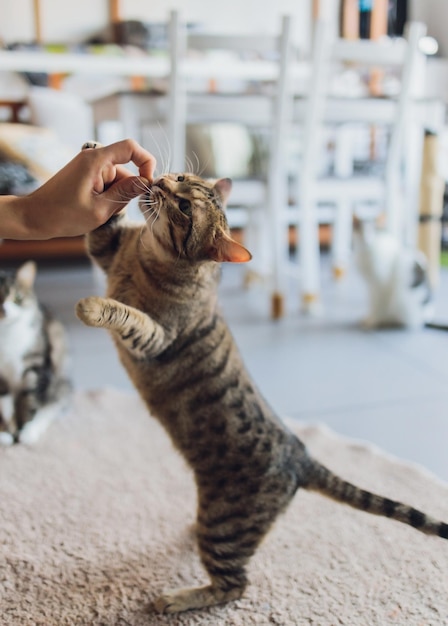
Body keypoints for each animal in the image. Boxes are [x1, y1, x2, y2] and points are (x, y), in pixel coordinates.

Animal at [0, 258, 71, 444]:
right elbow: (4, 407)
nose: (5, 310)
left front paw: (24, 432)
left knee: (50, 406)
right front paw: (6, 433)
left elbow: (29, 400)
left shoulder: (37, 366)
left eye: (17, 298)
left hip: (59, 384)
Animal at [76, 146, 448, 608]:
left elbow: (127, 315)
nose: (160, 181)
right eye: (178, 177)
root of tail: (300, 455)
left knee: (233, 586)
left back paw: (176, 598)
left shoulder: (157, 337)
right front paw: (98, 158)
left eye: (184, 206)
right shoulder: (107, 249)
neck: (147, 253)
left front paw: (94, 306)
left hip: (223, 527)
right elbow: (101, 229)